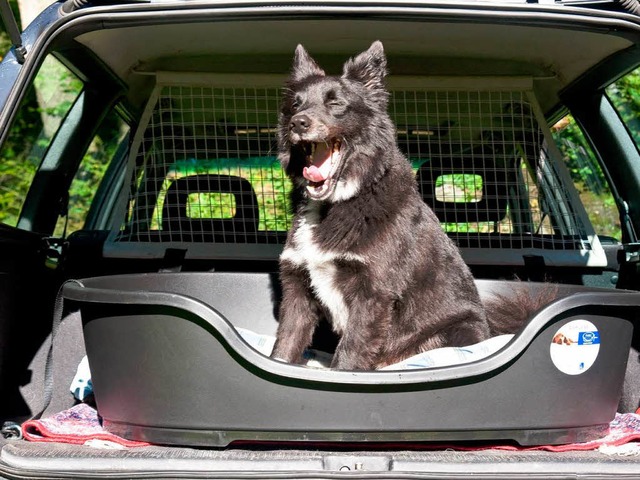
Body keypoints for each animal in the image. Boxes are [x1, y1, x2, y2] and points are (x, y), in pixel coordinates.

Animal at [270, 42, 504, 372]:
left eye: (335, 103)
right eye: (294, 104)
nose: (298, 123)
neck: (336, 203)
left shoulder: (373, 294)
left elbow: (349, 355)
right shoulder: (297, 288)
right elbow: (284, 346)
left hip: (458, 330)